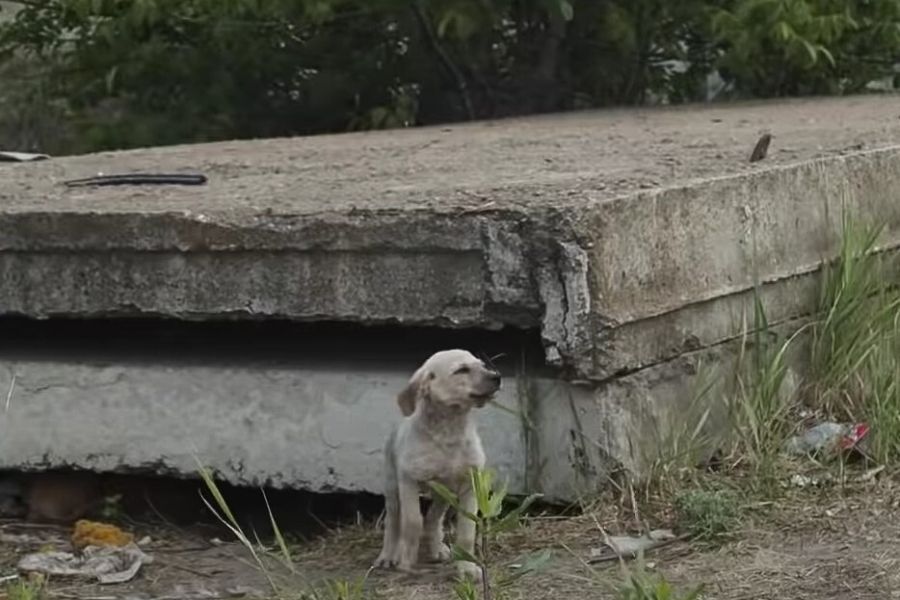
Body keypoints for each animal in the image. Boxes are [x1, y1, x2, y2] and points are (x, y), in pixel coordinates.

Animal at [370, 350, 500, 580]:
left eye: (482, 365)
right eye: (461, 370)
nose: (498, 377)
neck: (449, 432)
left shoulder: (469, 485)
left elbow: (466, 531)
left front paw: (467, 568)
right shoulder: (408, 481)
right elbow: (412, 522)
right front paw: (406, 561)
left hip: (444, 494)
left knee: (433, 518)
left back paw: (437, 548)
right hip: (393, 488)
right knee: (394, 521)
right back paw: (389, 554)